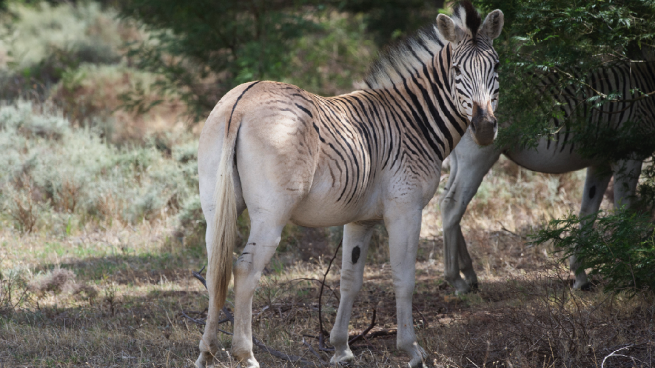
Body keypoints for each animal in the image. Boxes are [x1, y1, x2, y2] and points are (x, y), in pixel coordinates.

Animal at [197, 2, 504, 366]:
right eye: (456, 70)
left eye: (496, 66)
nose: (484, 128)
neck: (413, 121)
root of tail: (243, 100)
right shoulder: (405, 209)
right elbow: (403, 279)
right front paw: (411, 349)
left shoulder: (361, 218)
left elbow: (350, 280)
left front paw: (341, 348)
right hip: (271, 215)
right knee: (244, 270)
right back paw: (246, 354)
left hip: (215, 207)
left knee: (215, 269)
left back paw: (206, 352)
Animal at [440, 61, 655, 294]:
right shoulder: (629, 155)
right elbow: (623, 213)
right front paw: (629, 272)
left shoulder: (600, 162)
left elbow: (587, 213)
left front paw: (580, 275)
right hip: (477, 155)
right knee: (452, 206)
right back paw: (456, 280)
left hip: (458, 160)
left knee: (447, 203)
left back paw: (469, 274)